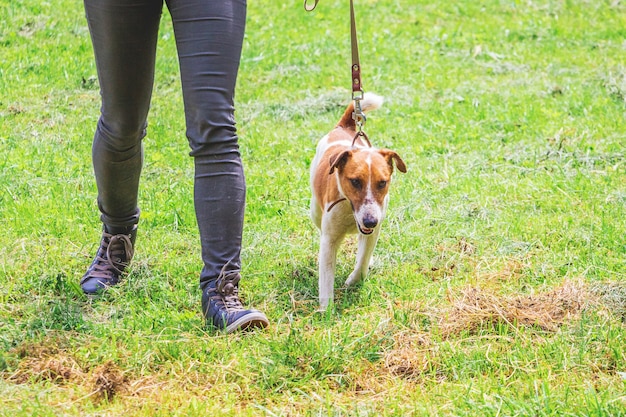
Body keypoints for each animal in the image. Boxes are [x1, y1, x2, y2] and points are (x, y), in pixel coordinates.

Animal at [310, 93, 408, 308]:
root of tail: (343, 128)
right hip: (315, 210)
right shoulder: (329, 240)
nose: (370, 221)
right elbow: (326, 278)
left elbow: (363, 260)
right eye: (355, 181)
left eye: (382, 183)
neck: (349, 209)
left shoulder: (373, 231)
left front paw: (353, 280)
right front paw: (326, 310)